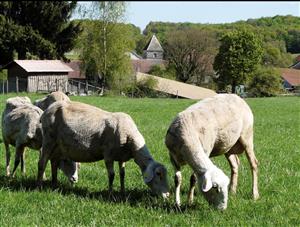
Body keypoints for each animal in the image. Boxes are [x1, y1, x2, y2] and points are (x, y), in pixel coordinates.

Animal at [36, 100, 170, 198]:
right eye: (158, 174)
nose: (168, 195)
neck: (129, 136)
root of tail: (47, 110)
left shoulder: (122, 157)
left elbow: (122, 174)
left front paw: (122, 191)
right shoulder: (108, 155)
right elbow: (112, 175)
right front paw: (110, 193)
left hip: (58, 144)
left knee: (54, 162)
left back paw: (54, 184)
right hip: (48, 138)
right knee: (42, 162)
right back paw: (40, 186)